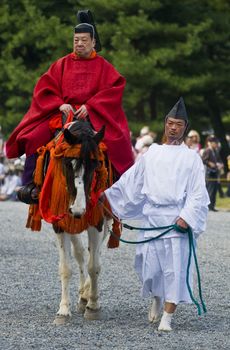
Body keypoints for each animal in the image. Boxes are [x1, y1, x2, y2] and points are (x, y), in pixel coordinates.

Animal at [26, 119, 119, 324]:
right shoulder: (60, 224)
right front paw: (63, 310)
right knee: (80, 253)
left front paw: (93, 306)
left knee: (95, 254)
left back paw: (87, 294)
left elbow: (94, 266)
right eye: (68, 164)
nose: (77, 209)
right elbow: (66, 267)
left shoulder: (97, 221)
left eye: (95, 164)